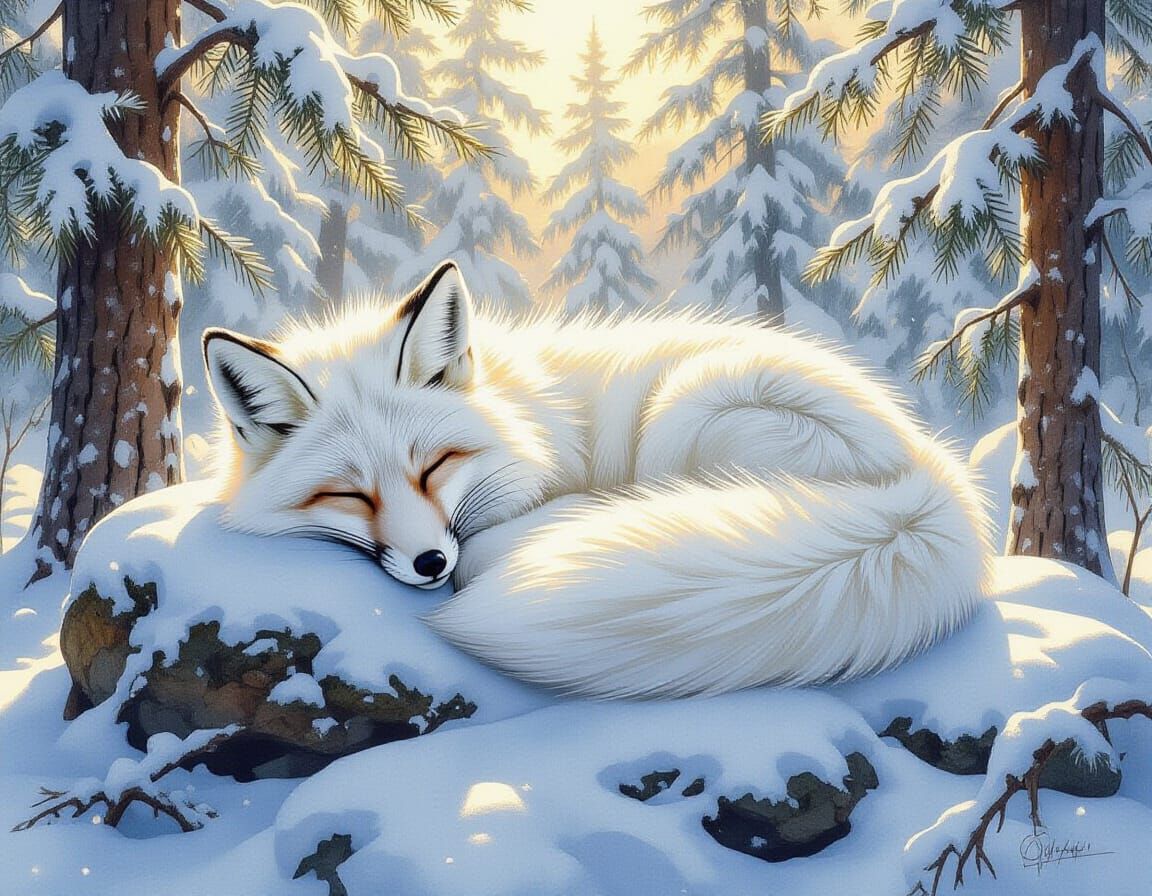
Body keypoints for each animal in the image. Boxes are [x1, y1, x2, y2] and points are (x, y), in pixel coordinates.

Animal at [203, 259, 993, 700]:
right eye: (348, 494)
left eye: (434, 466)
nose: (430, 562)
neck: (523, 414)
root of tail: (931, 474)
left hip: (688, 407)